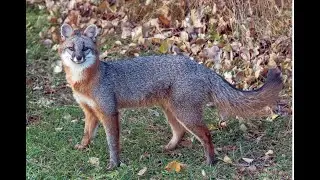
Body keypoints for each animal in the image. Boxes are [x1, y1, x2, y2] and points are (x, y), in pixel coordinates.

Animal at [59, 23, 282, 169]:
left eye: (85, 48)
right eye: (71, 48)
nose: (78, 57)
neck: (85, 82)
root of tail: (200, 67)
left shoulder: (109, 112)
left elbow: (112, 142)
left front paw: (114, 164)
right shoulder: (90, 112)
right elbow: (87, 133)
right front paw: (82, 147)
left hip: (185, 114)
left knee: (206, 134)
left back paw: (210, 162)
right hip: (172, 111)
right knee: (180, 132)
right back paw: (169, 148)